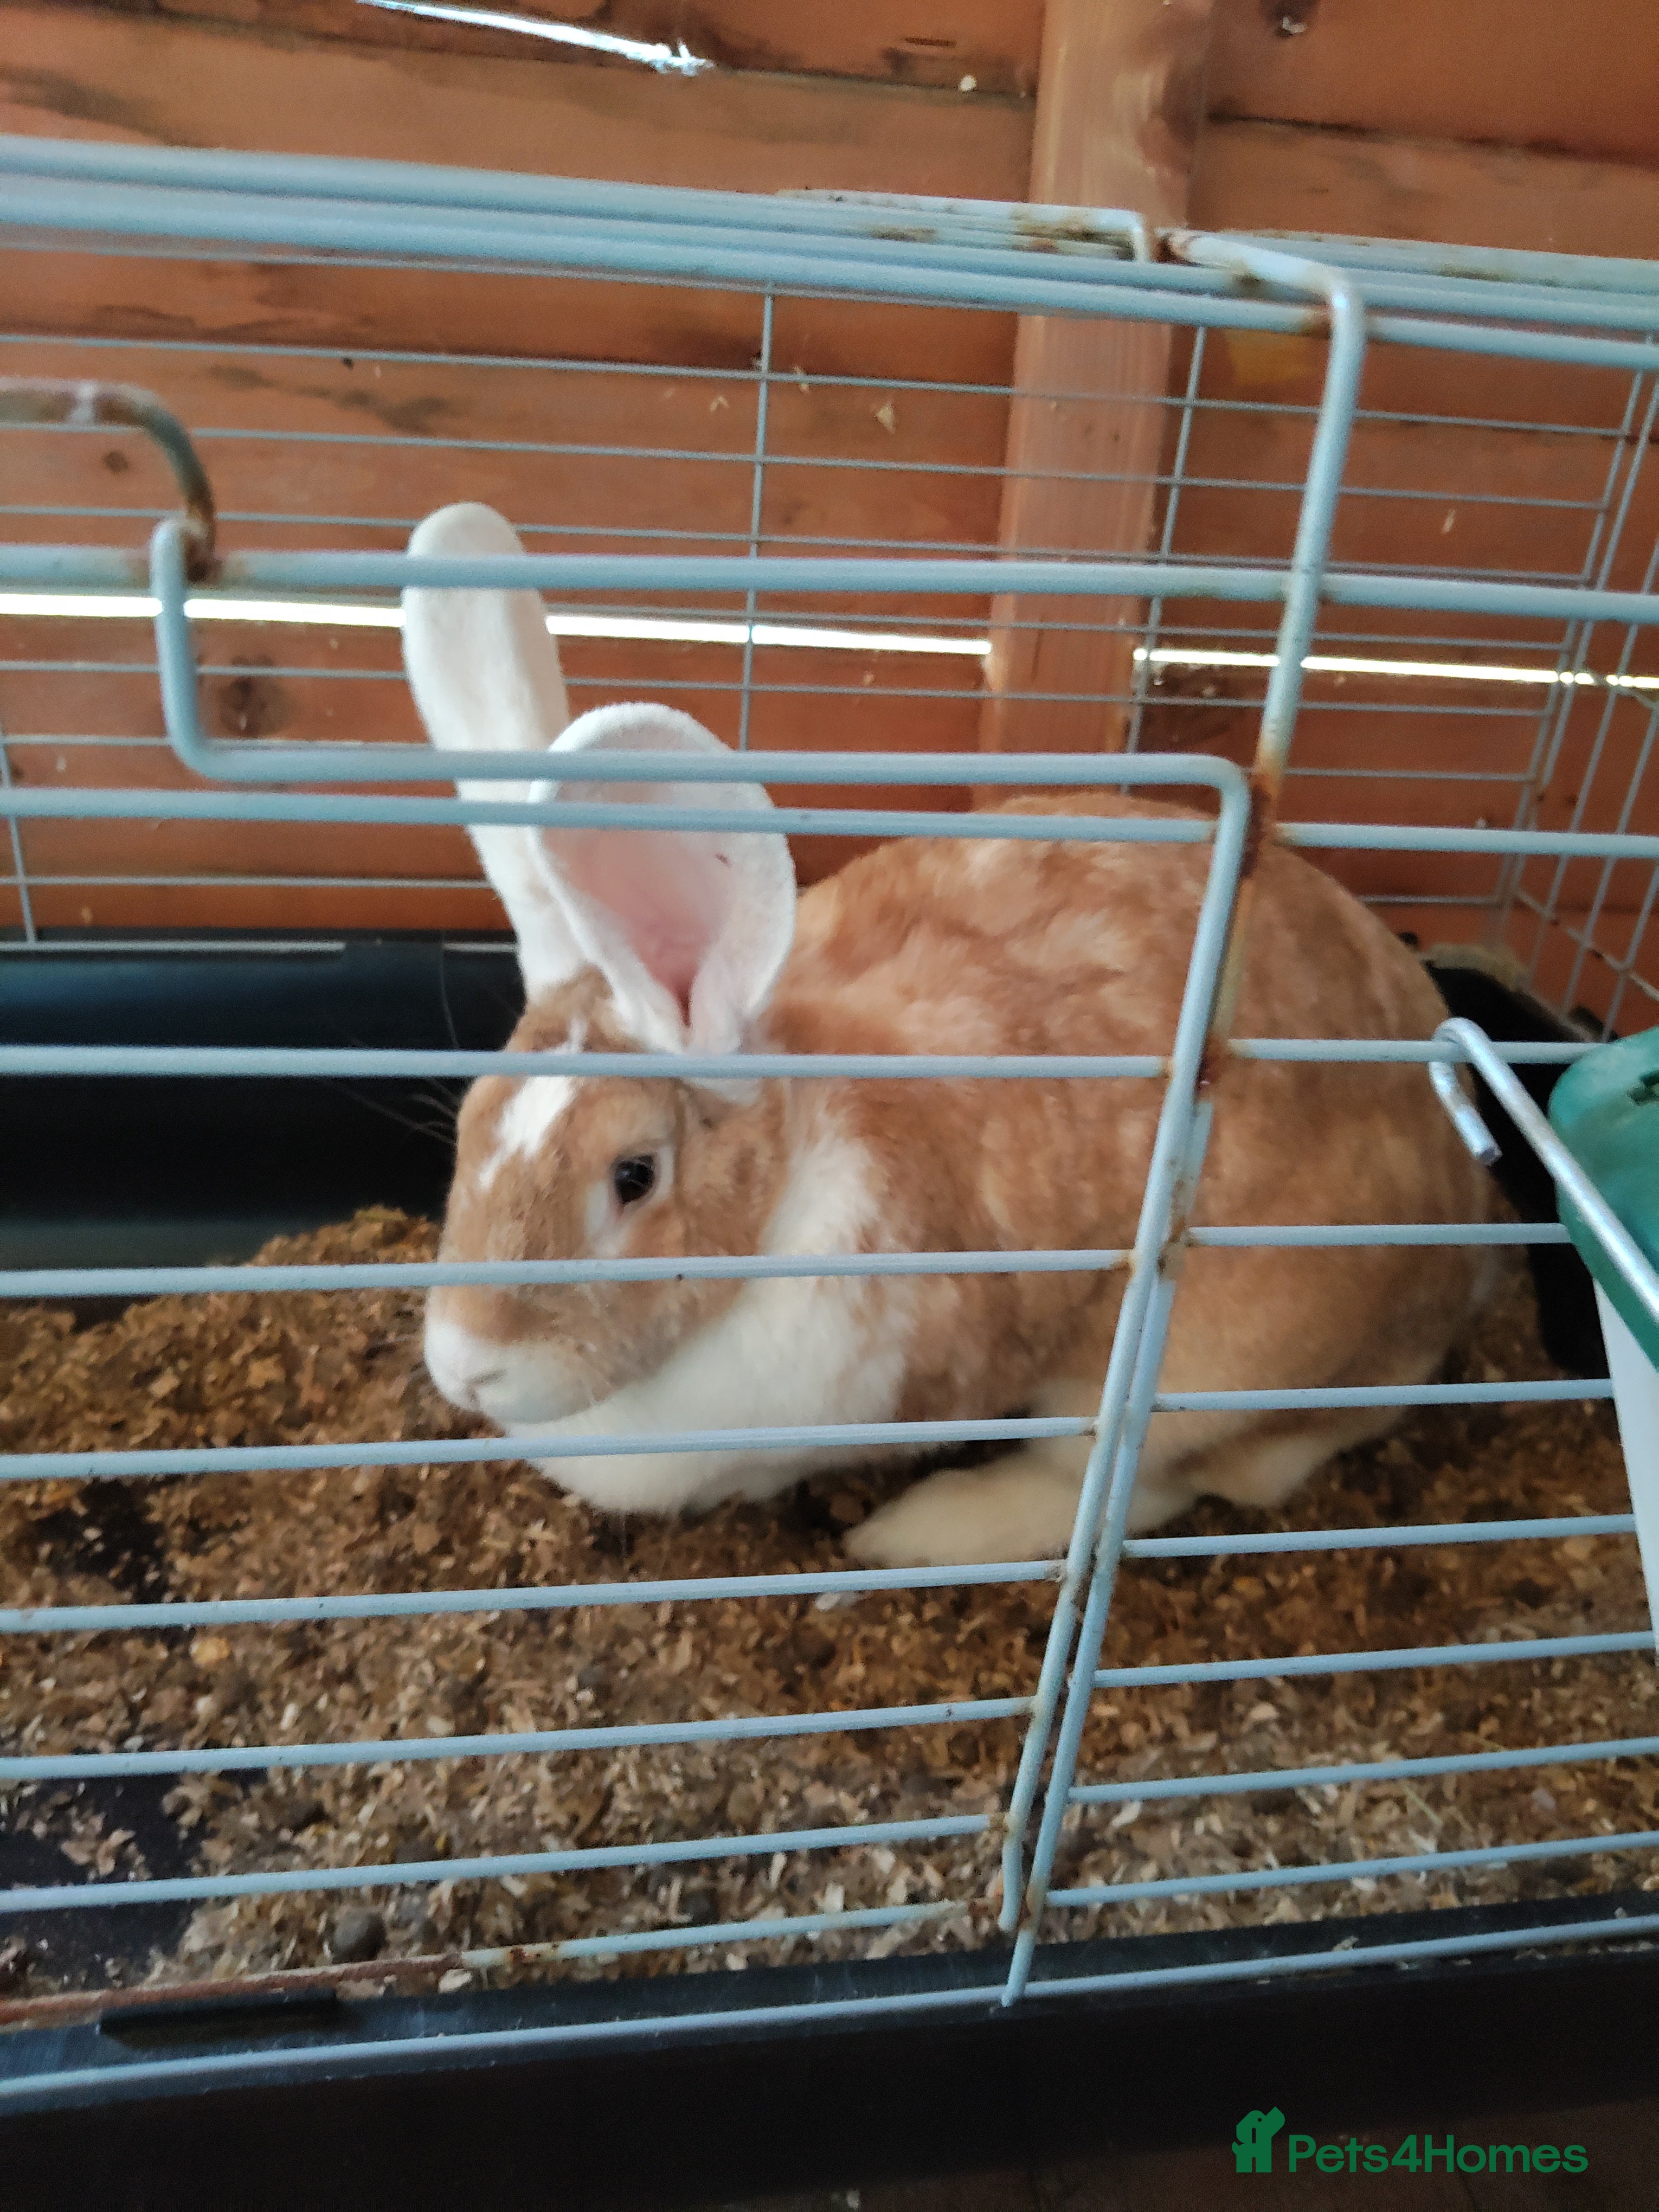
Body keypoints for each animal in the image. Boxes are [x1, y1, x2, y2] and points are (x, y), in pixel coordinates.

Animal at [404, 501, 1494, 1569]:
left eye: (634, 1177)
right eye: (467, 1124)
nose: (467, 1367)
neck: (784, 1191)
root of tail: (1457, 1266)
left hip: (1200, 1369)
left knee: (1143, 1482)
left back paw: (918, 1530)